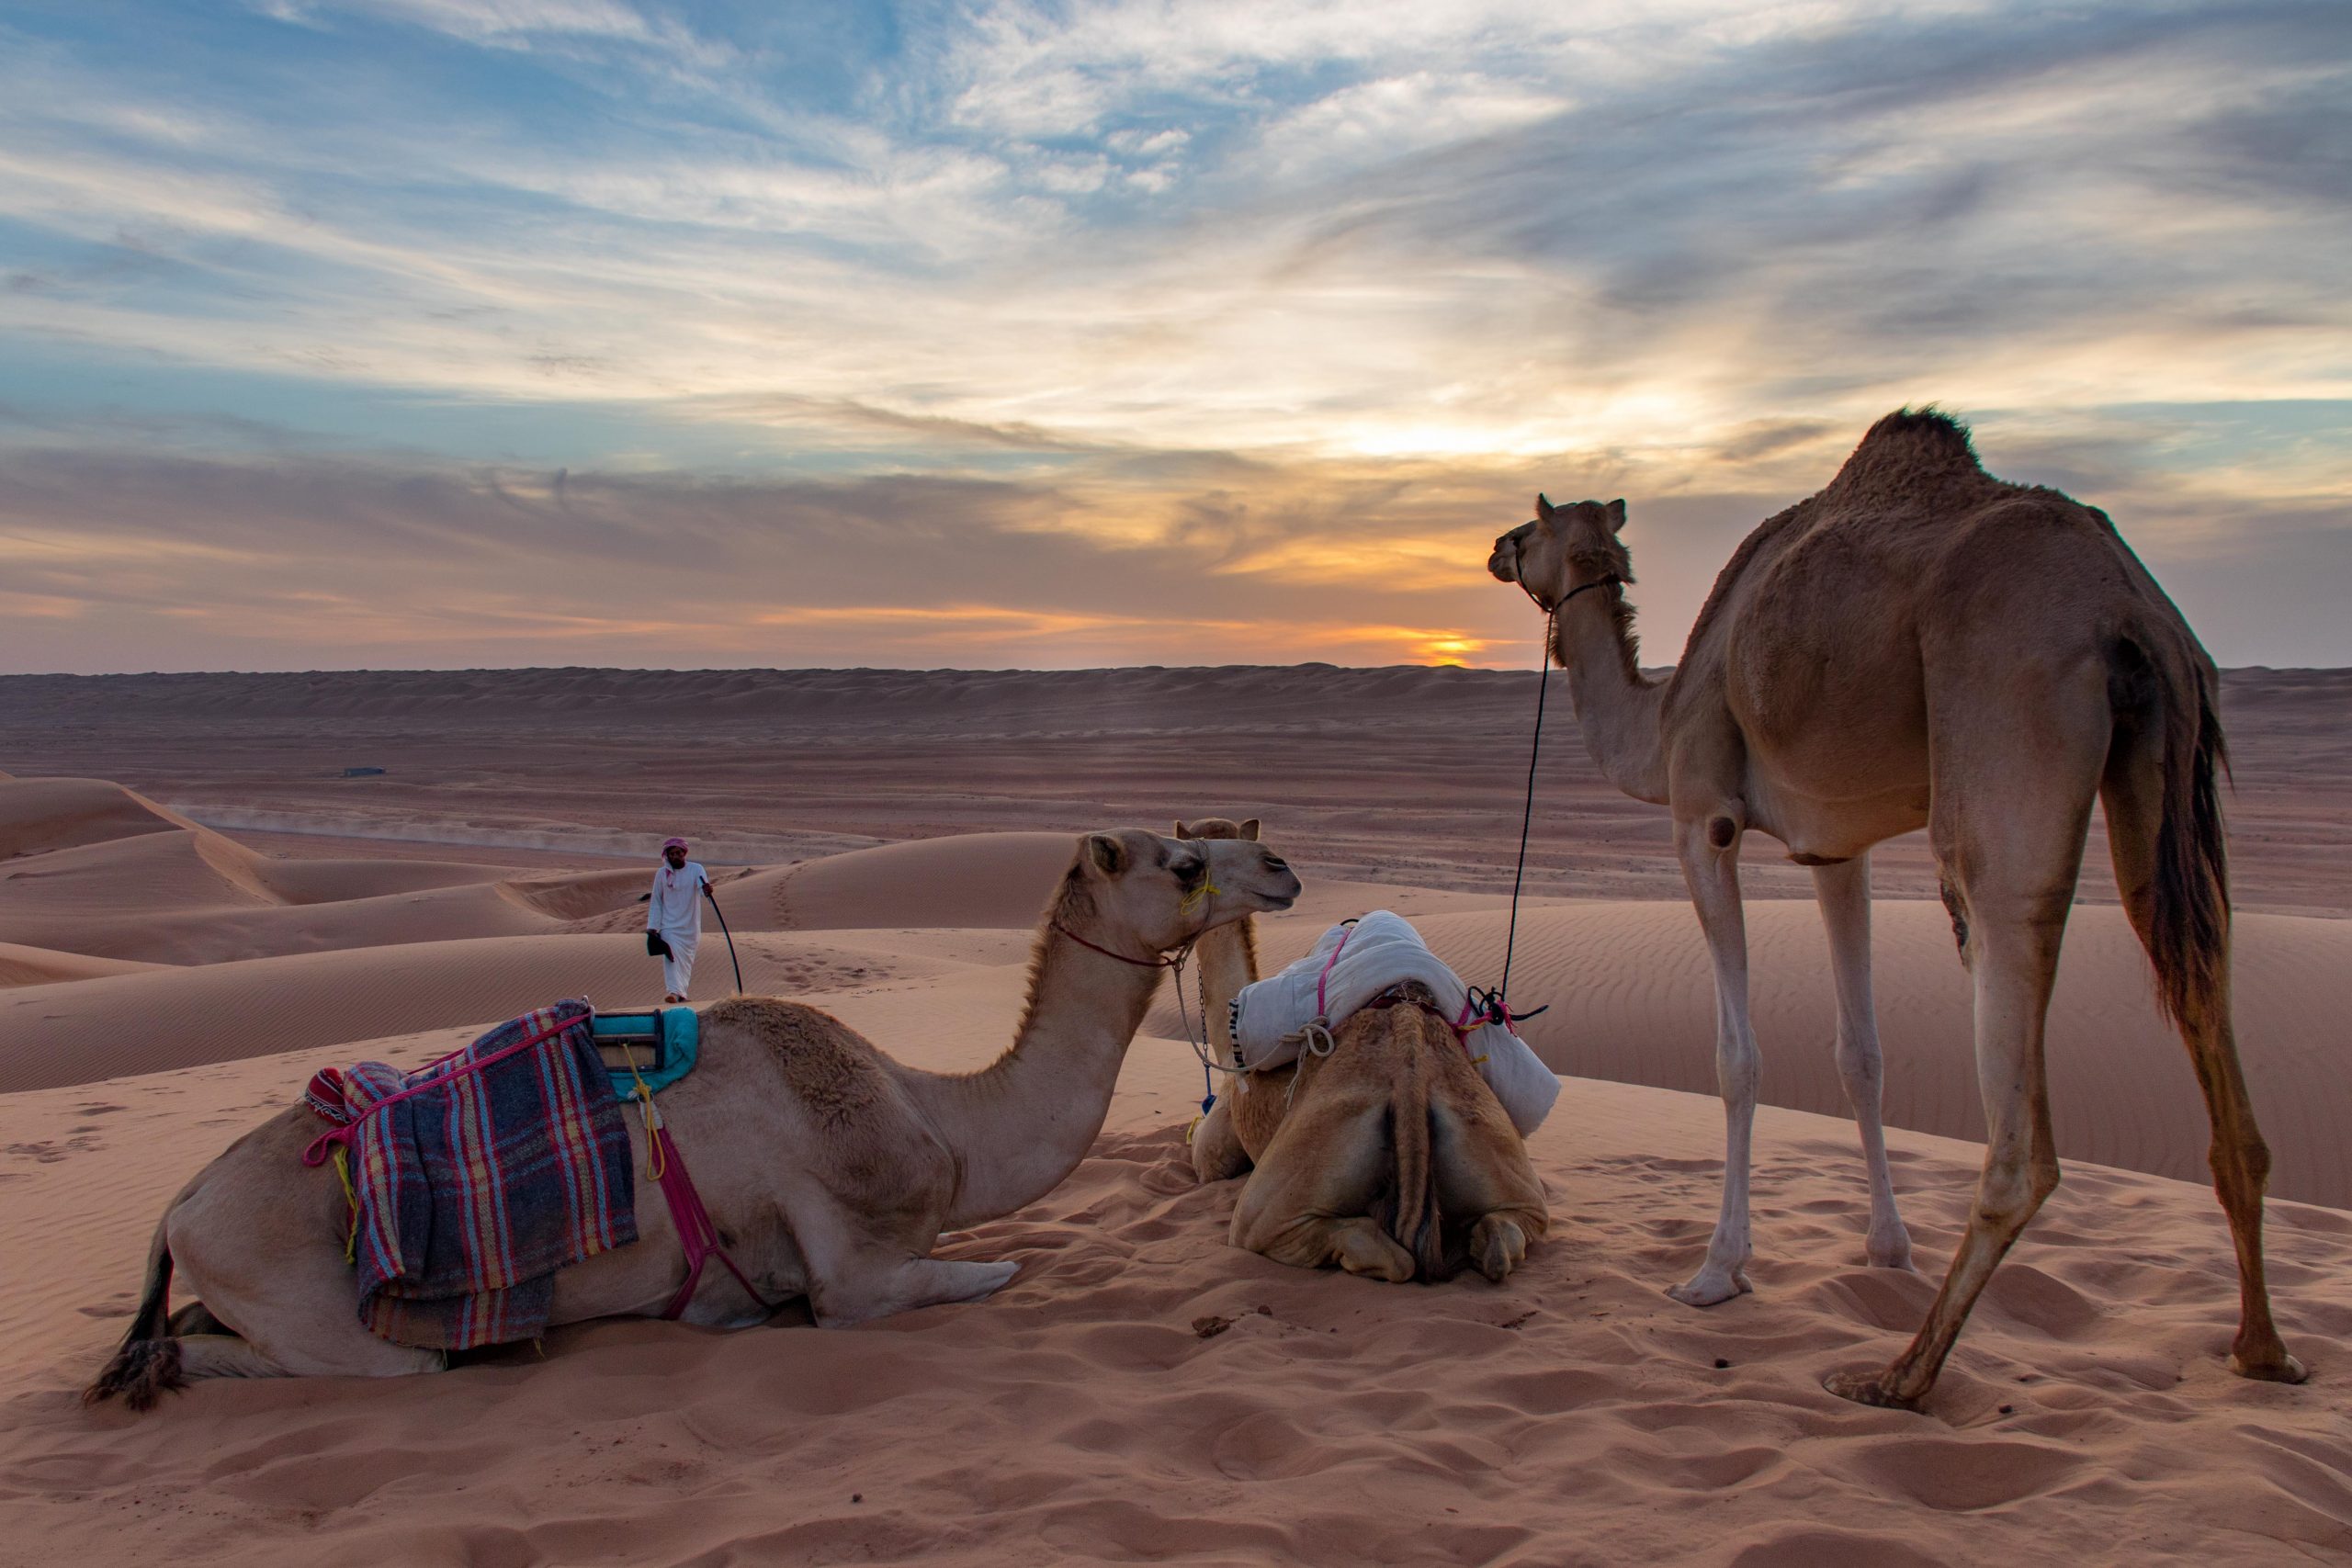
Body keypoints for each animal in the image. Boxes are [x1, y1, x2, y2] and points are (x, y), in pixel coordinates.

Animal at [87, 828, 1301, 1410]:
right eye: (1185, 862)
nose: (1284, 866)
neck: (939, 1116)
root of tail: (175, 1208)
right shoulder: (854, 1268)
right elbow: (979, 1276)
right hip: (325, 1314)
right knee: (239, 1356)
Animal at [1176, 816, 1547, 1282]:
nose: (1280, 869)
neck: (1228, 1048)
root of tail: (1411, 1077)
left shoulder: (1214, 1148)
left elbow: (1201, 1152)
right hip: (1507, 1165)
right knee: (1504, 1233)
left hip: (1287, 1183)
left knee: (1364, 1247)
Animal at [1486, 407, 2302, 1408]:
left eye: (1529, 527)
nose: (1494, 548)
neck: (1662, 712)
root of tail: (2129, 609)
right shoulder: (1838, 847)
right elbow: (1861, 1053)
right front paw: (1884, 1246)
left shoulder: (1701, 817)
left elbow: (1737, 1058)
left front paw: (1717, 1270)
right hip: (2165, 764)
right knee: (2198, 975)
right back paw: (2260, 1347)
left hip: (2004, 743)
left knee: (2018, 1090)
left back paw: (1900, 1374)